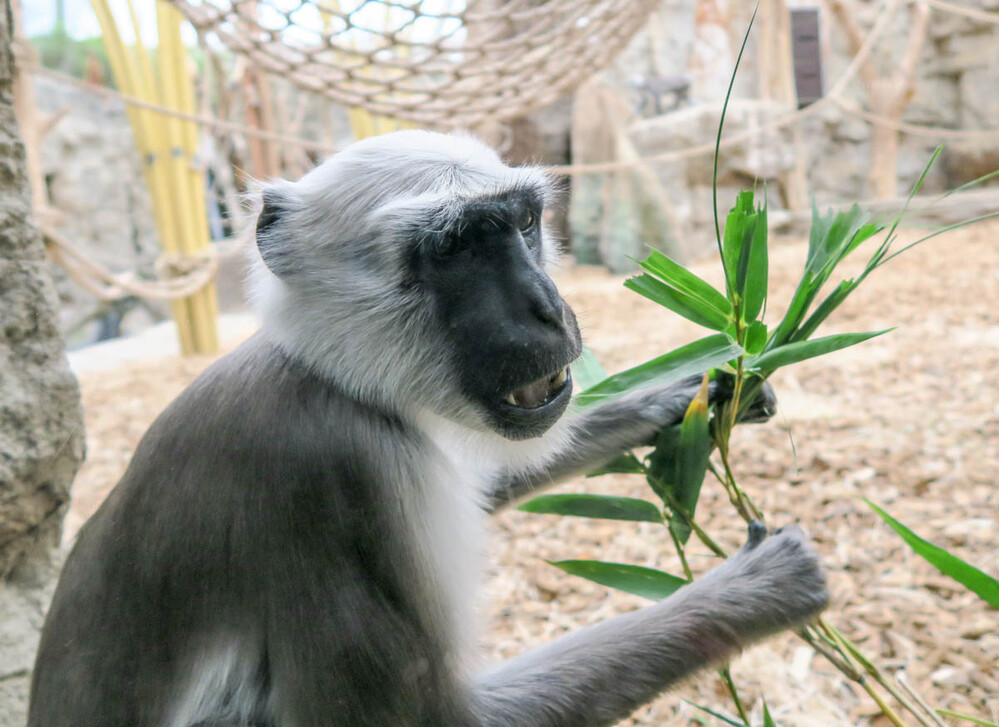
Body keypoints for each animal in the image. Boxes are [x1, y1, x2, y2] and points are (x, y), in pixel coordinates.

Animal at [29, 131, 828, 727]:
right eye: (455, 248)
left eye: (524, 224)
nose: (547, 308)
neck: (322, 376)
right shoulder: (337, 475)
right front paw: (759, 588)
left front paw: (694, 394)